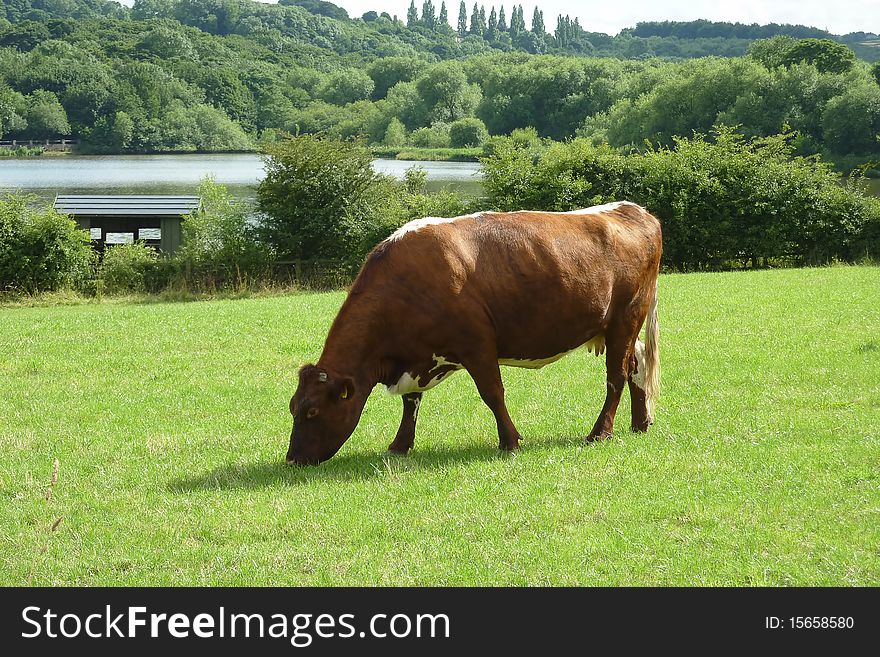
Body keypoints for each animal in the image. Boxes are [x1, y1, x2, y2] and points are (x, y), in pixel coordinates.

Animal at [288, 202, 660, 464]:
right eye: (293, 407)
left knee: (616, 376)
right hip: (621, 327)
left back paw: (600, 433)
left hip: (625, 318)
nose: (293, 460)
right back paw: (640, 423)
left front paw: (510, 441)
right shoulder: (419, 356)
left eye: (312, 411)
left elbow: (493, 393)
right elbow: (411, 402)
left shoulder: (477, 345)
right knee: (635, 364)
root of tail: (633, 210)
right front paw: (400, 445)